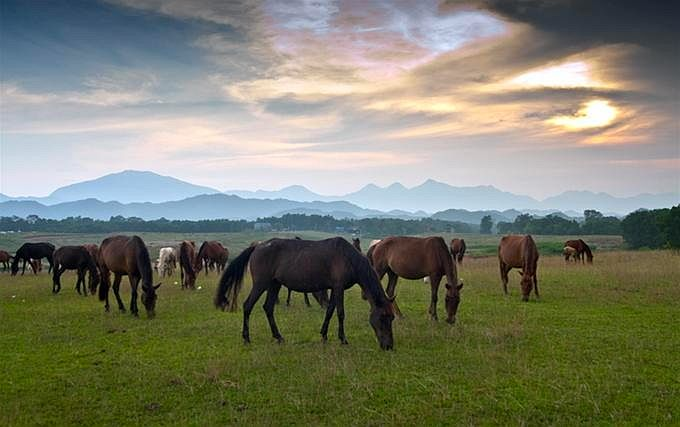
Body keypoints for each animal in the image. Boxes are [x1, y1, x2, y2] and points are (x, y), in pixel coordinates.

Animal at [212, 237, 394, 352]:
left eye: (392, 318)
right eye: (383, 317)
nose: (389, 346)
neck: (348, 257)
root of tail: (258, 246)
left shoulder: (334, 289)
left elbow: (329, 311)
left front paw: (324, 335)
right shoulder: (339, 287)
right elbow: (341, 313)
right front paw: (343, 339)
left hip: (274, 284)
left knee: (268, 307)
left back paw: (279, 337)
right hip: (261, 284)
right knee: (248, 306)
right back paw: (246, 338)